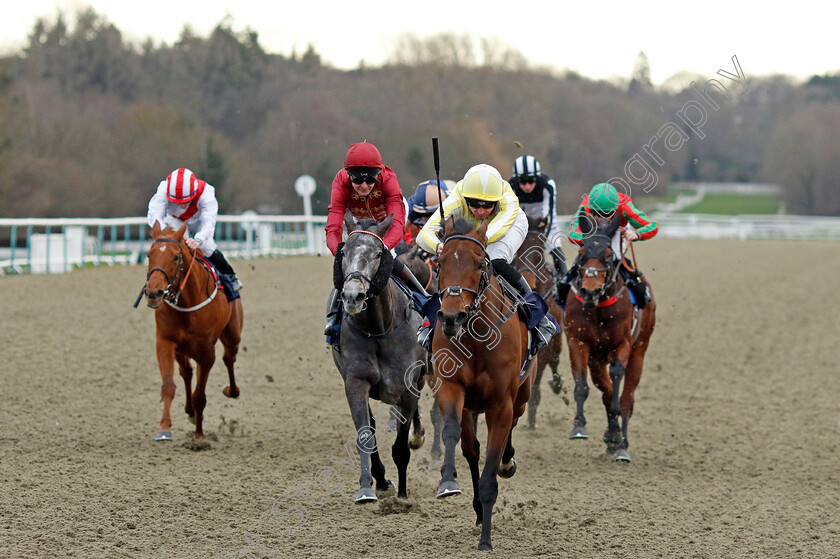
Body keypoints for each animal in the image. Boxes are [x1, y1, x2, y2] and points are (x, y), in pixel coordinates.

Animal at [143, 222, 243, 442]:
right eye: (149, 254)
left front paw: (199, 435)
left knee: (229, 357)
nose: (154, 292)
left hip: (233, 334)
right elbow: (169, 386)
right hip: (182, 350)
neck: (187, 301)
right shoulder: (165, 341)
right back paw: (189, 411)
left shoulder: (206, 352)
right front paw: (164, 428)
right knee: (186, 372)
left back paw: (232, 391)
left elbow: (200, 396)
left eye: (175, 257)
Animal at [332, 214, 430, 504]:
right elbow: (365, 434)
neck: (379, 328)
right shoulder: (355, 382)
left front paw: (403, 495)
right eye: (344, 252)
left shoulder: (407, 387)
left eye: (378, 253)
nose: (353, 295)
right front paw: (368, 486)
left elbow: (400, 448)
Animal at [434, 218, 540, 552]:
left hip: (522, 394)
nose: (451, 316)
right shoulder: (450, 387)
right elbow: (452, 432)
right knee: (471, 449)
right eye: (439, 263)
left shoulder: (500, 404)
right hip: (472, 405)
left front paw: (486, 541)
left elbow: (491, 473)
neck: (476, 339)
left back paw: (507, 464)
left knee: (513, 424)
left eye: (481, 264)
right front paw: (447, 482)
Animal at [564, 212, 656, 462]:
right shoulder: (577, 341)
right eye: (582, 251)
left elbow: (616, 381)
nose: (590, 291)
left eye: (608, 255)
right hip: (597, 359)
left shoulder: (621, 344)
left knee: (626, 399)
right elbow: (582, 385)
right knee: (605, 389)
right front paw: (579, 426)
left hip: (639, 351)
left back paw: (622, 445)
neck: (597, 308)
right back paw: (612, 436)